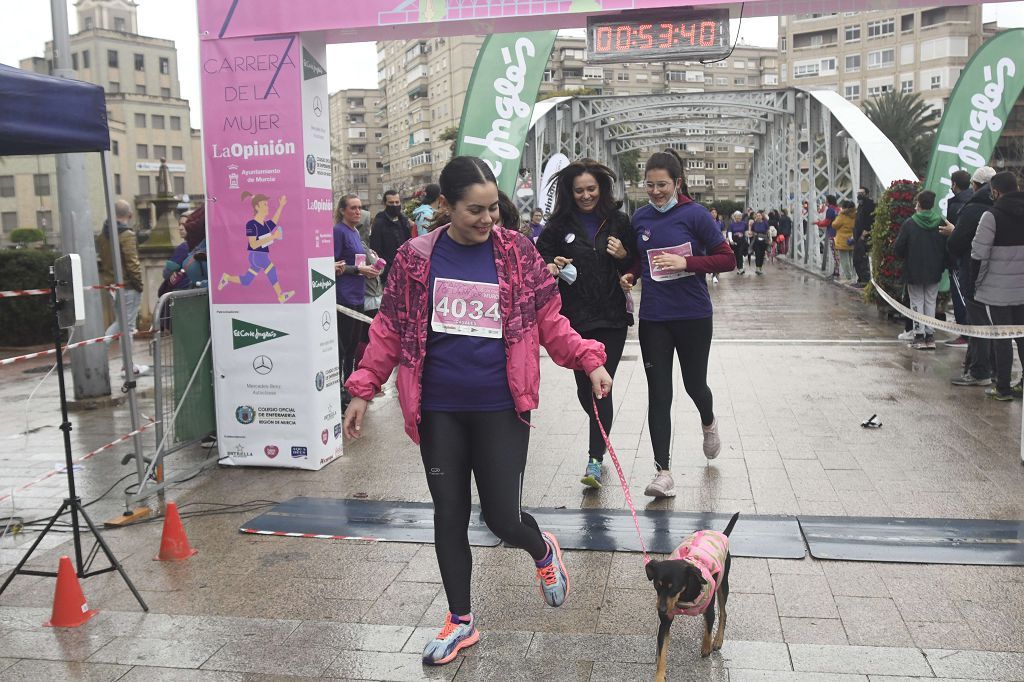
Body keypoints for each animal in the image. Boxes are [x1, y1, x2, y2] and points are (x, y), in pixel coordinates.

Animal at [643, 507, 741, 675]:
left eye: (674, 587)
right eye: (657, 585)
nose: (661, 610)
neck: (683, 598)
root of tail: (720, 534)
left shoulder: (709, 607)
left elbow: (709, 628)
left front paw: (706, 647)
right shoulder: (665, 621)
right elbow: (661, 656)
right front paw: (659, 676)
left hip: (723, 584)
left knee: (723, 613)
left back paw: (718, 640)